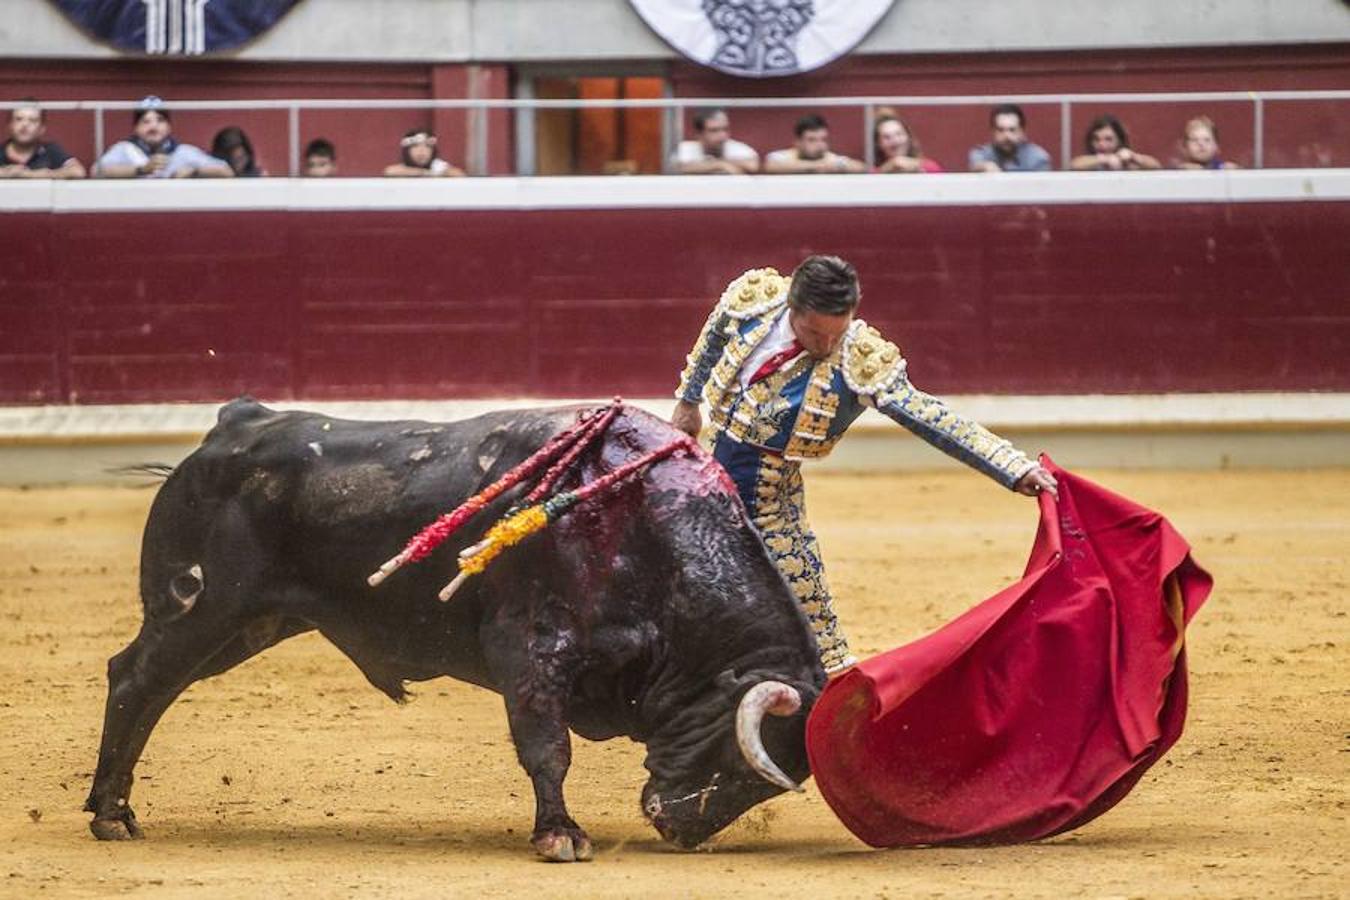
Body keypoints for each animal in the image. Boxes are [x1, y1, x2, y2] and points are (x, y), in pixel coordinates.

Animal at [87, 399, 820, 858]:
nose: (681, 829)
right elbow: (547, 747)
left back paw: (114, 808)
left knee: (150, 687)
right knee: (136, 680)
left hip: (254, 624)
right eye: (739, 755)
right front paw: (559, 836)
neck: (641, 527)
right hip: (201, 608)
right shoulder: (529, 649)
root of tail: (229, 428)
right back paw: (110, 814)